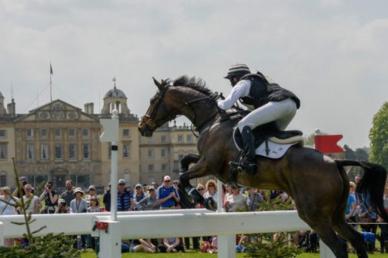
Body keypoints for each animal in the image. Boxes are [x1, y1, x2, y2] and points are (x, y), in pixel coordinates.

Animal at [138, 75, 386, 256]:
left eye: (152, 100)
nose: (142, 127)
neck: (213, 120)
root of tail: (335, 162)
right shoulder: (205, 160)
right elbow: (184, 162)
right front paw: (201, 198)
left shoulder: (210, 164)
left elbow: (183, 177)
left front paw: (200, 199)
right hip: (335, 213)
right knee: (356, 239)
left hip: (314, 214)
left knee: (340, 246)